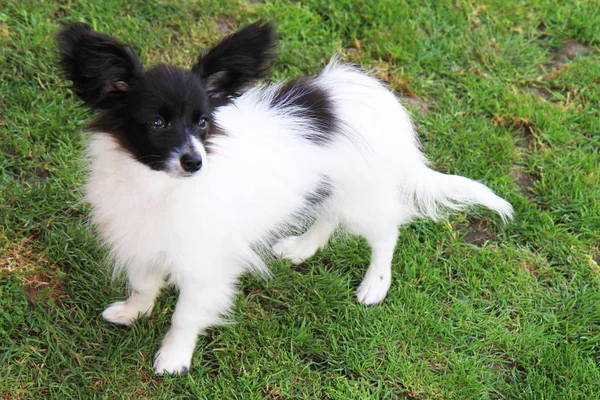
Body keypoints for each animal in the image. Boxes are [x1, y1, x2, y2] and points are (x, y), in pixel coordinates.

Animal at [58, 21, 512, 372]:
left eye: (202, 122)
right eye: (157, 123)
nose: (194, 162)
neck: (157, 184)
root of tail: (362, 94)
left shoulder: (205, 264)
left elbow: (186, 315)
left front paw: (174, 358)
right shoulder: (142, 237)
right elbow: (142, 284)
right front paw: (133, 312)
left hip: (362, 196)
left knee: (386, 233)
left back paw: (375, 285)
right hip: (330, 186)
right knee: (329, 216)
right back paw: (302, 248)